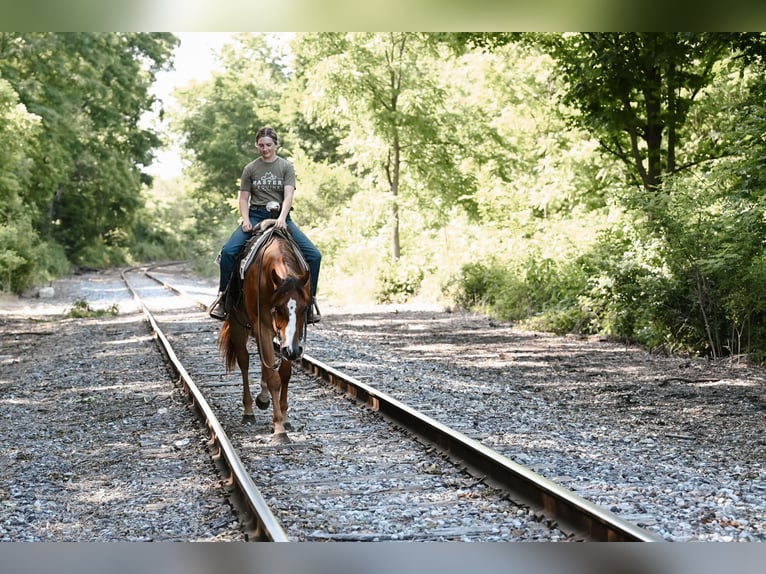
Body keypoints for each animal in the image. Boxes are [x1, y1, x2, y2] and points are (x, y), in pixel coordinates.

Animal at [216, 224, 312, 446]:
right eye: (278, 308)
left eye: (304, 308)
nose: (293, 351)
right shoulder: (262, 327)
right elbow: (273, 378)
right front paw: (278, 429)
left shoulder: (288, 340)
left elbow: (284, 374)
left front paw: (285, 418)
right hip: (238, 324)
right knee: (244, 361)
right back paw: (249, 411)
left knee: (263, 362)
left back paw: (263, 398)